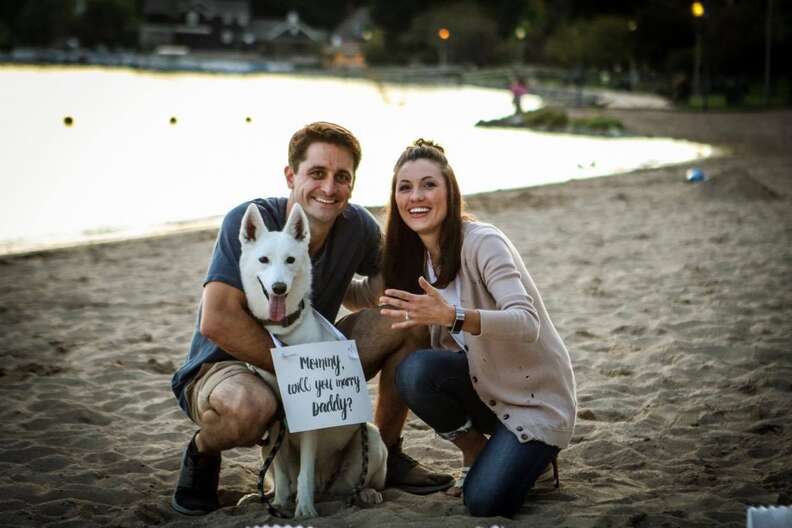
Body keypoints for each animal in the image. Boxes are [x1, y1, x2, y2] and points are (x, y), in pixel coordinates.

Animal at [237, 203, 388, 520]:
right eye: (264, 259)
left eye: (290, 260)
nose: (279, 288)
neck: (284, 330)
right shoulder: (276, 424)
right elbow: (283, 473)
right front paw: (280, 503)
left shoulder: (309, 422)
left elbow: (304, 472)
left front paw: (304, 510)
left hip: (370, 438)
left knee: (356, 482)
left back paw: (366, 493)